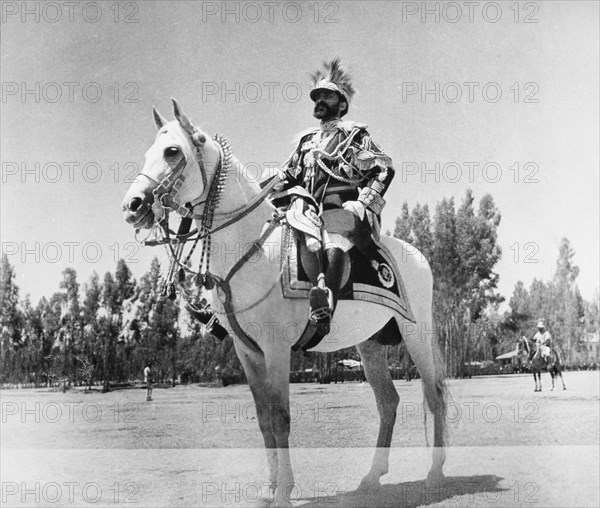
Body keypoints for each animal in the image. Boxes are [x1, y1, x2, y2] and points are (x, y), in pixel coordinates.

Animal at [122, 100, 448, 508]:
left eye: (171, 151)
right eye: (148, 152)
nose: (132, 205)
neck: (252, 249)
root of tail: (418, 255)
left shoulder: (276, 348)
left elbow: (280, 417)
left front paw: (284, 493)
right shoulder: (247, 352)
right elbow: (264, 420)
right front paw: (269, 488)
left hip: (417, 334)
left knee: (434, 394)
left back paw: (435, 473)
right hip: (370, 345)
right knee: (388, 402)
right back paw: (371, 478)